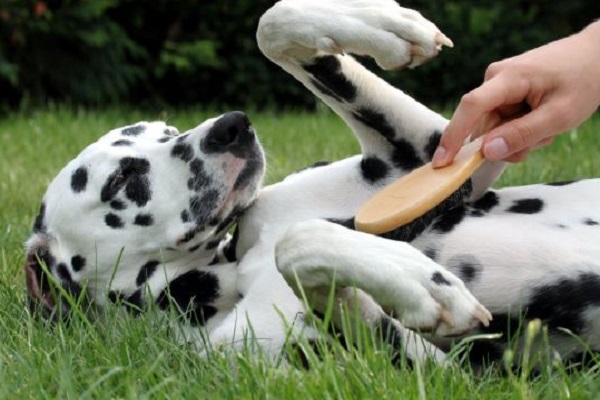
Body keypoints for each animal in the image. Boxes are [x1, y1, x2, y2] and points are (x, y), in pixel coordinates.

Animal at [25, 0, 600, 368]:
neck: (228, 269)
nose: (231, 126)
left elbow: (271, 22)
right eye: (123, 177)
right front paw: (418, 280)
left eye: (166, 132)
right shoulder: (434, 370)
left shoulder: (424, 155)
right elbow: (301, 245)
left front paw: (389, 25)